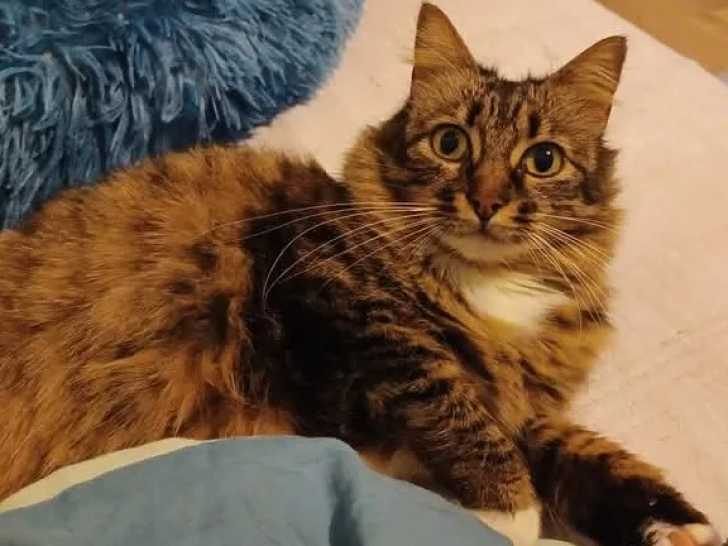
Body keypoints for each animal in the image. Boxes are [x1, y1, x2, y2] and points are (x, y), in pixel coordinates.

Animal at [0, 3, 720, 546]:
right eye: (451, 143)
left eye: (542, 160)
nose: (486, 201)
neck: (486, 289)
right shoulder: (351, 317)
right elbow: (464, 420)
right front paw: (510, 515)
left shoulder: (524, 406)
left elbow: (588, 455)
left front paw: (678, 526)